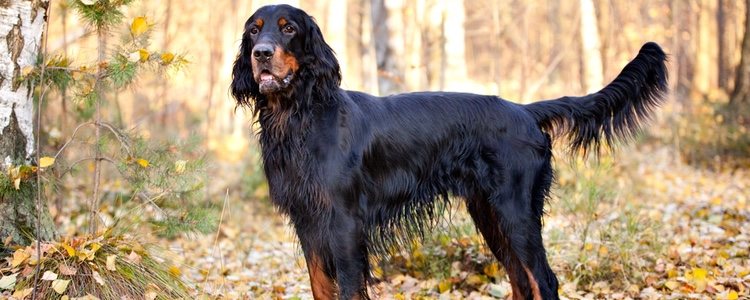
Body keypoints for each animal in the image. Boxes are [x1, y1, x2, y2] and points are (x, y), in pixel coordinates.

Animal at [232, 4, 668, 300]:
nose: (261, 54)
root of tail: (525, 110)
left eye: (288, 28)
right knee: (521, 279)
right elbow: (321, 286)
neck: (300, 118)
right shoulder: (308, 222)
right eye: (254, 30)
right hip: (489, 213)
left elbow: (350, 288)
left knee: (543, 279)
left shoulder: (344, 223)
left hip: (515, 210)